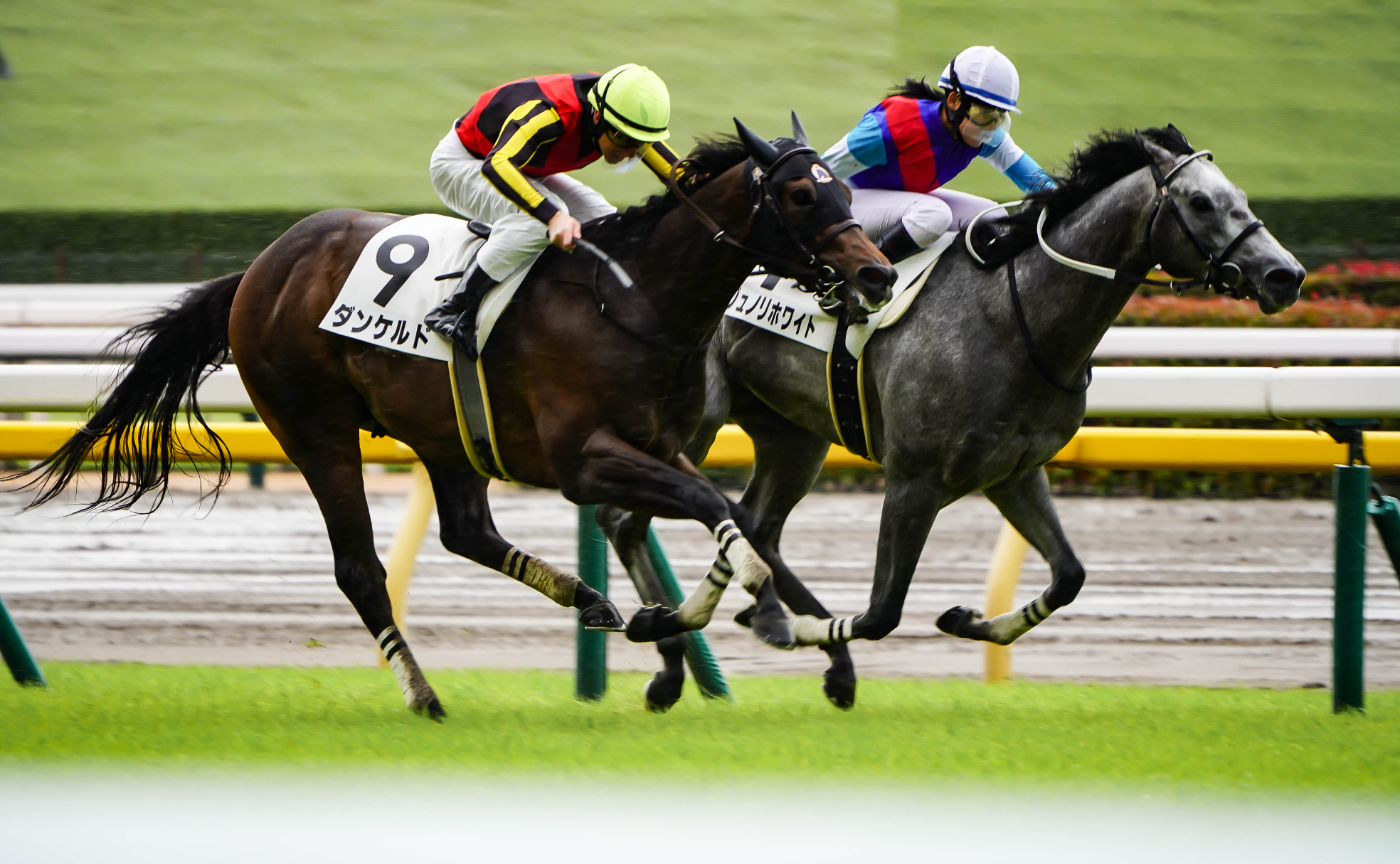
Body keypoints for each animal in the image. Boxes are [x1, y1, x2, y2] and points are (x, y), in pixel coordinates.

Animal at [8, 117, 896, 720]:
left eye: (845, 188)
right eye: (800, 193)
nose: (877, 273)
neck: (633, 299)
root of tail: (260, 267)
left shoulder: (660, 446)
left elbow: (725, 516)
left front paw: (688, 620)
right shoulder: (583, 458)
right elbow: (717, 512)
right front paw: (726, 611)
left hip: (446, 433)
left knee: (467, 530)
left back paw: (590, 601)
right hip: (314, 429)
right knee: (359, 568)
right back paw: (424, 693)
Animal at [605, 126, 1307, 710]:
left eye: (1240, 197)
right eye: (1201, 203)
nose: (1285, 274)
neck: (1016, 318)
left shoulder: (1015, 473)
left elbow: (1070, 576)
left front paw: (966, 619)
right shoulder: (913, 479)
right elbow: (882, 612)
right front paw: (785, 626)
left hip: (793, 435)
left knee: (756, 526)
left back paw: (795, 648)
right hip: (696, 422)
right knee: (628, 519)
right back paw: (673, 649)